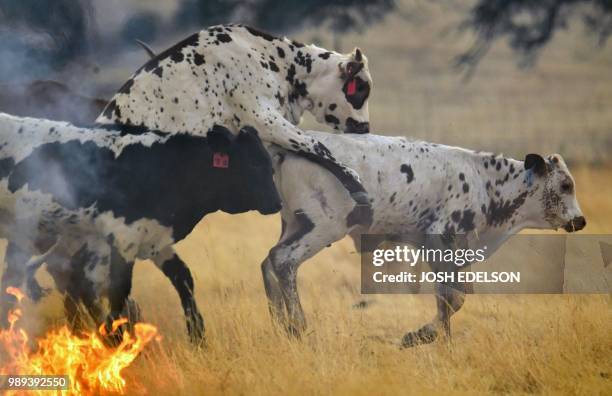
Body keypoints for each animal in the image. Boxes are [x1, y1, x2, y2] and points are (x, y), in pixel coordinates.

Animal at [0, 113, 280, 342]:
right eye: (254, 163)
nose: (276, 203)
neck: (160, 167)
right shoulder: (124, 238)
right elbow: (118, 290)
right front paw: (115, 337)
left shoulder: (157, 239)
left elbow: (183, 278)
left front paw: (198, 337)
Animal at [264, 131, 588, 344]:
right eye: (565, 185)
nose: (581, 220)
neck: (486, 184)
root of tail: (286, 151)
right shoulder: (441, 240)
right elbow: (453, 297)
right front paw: (421, 336)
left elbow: (449, 298)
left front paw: (442, 341)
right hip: (323, 226)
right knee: (283, 260)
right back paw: (297, 327)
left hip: (294, 224)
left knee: (268, 262)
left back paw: (280, 325)